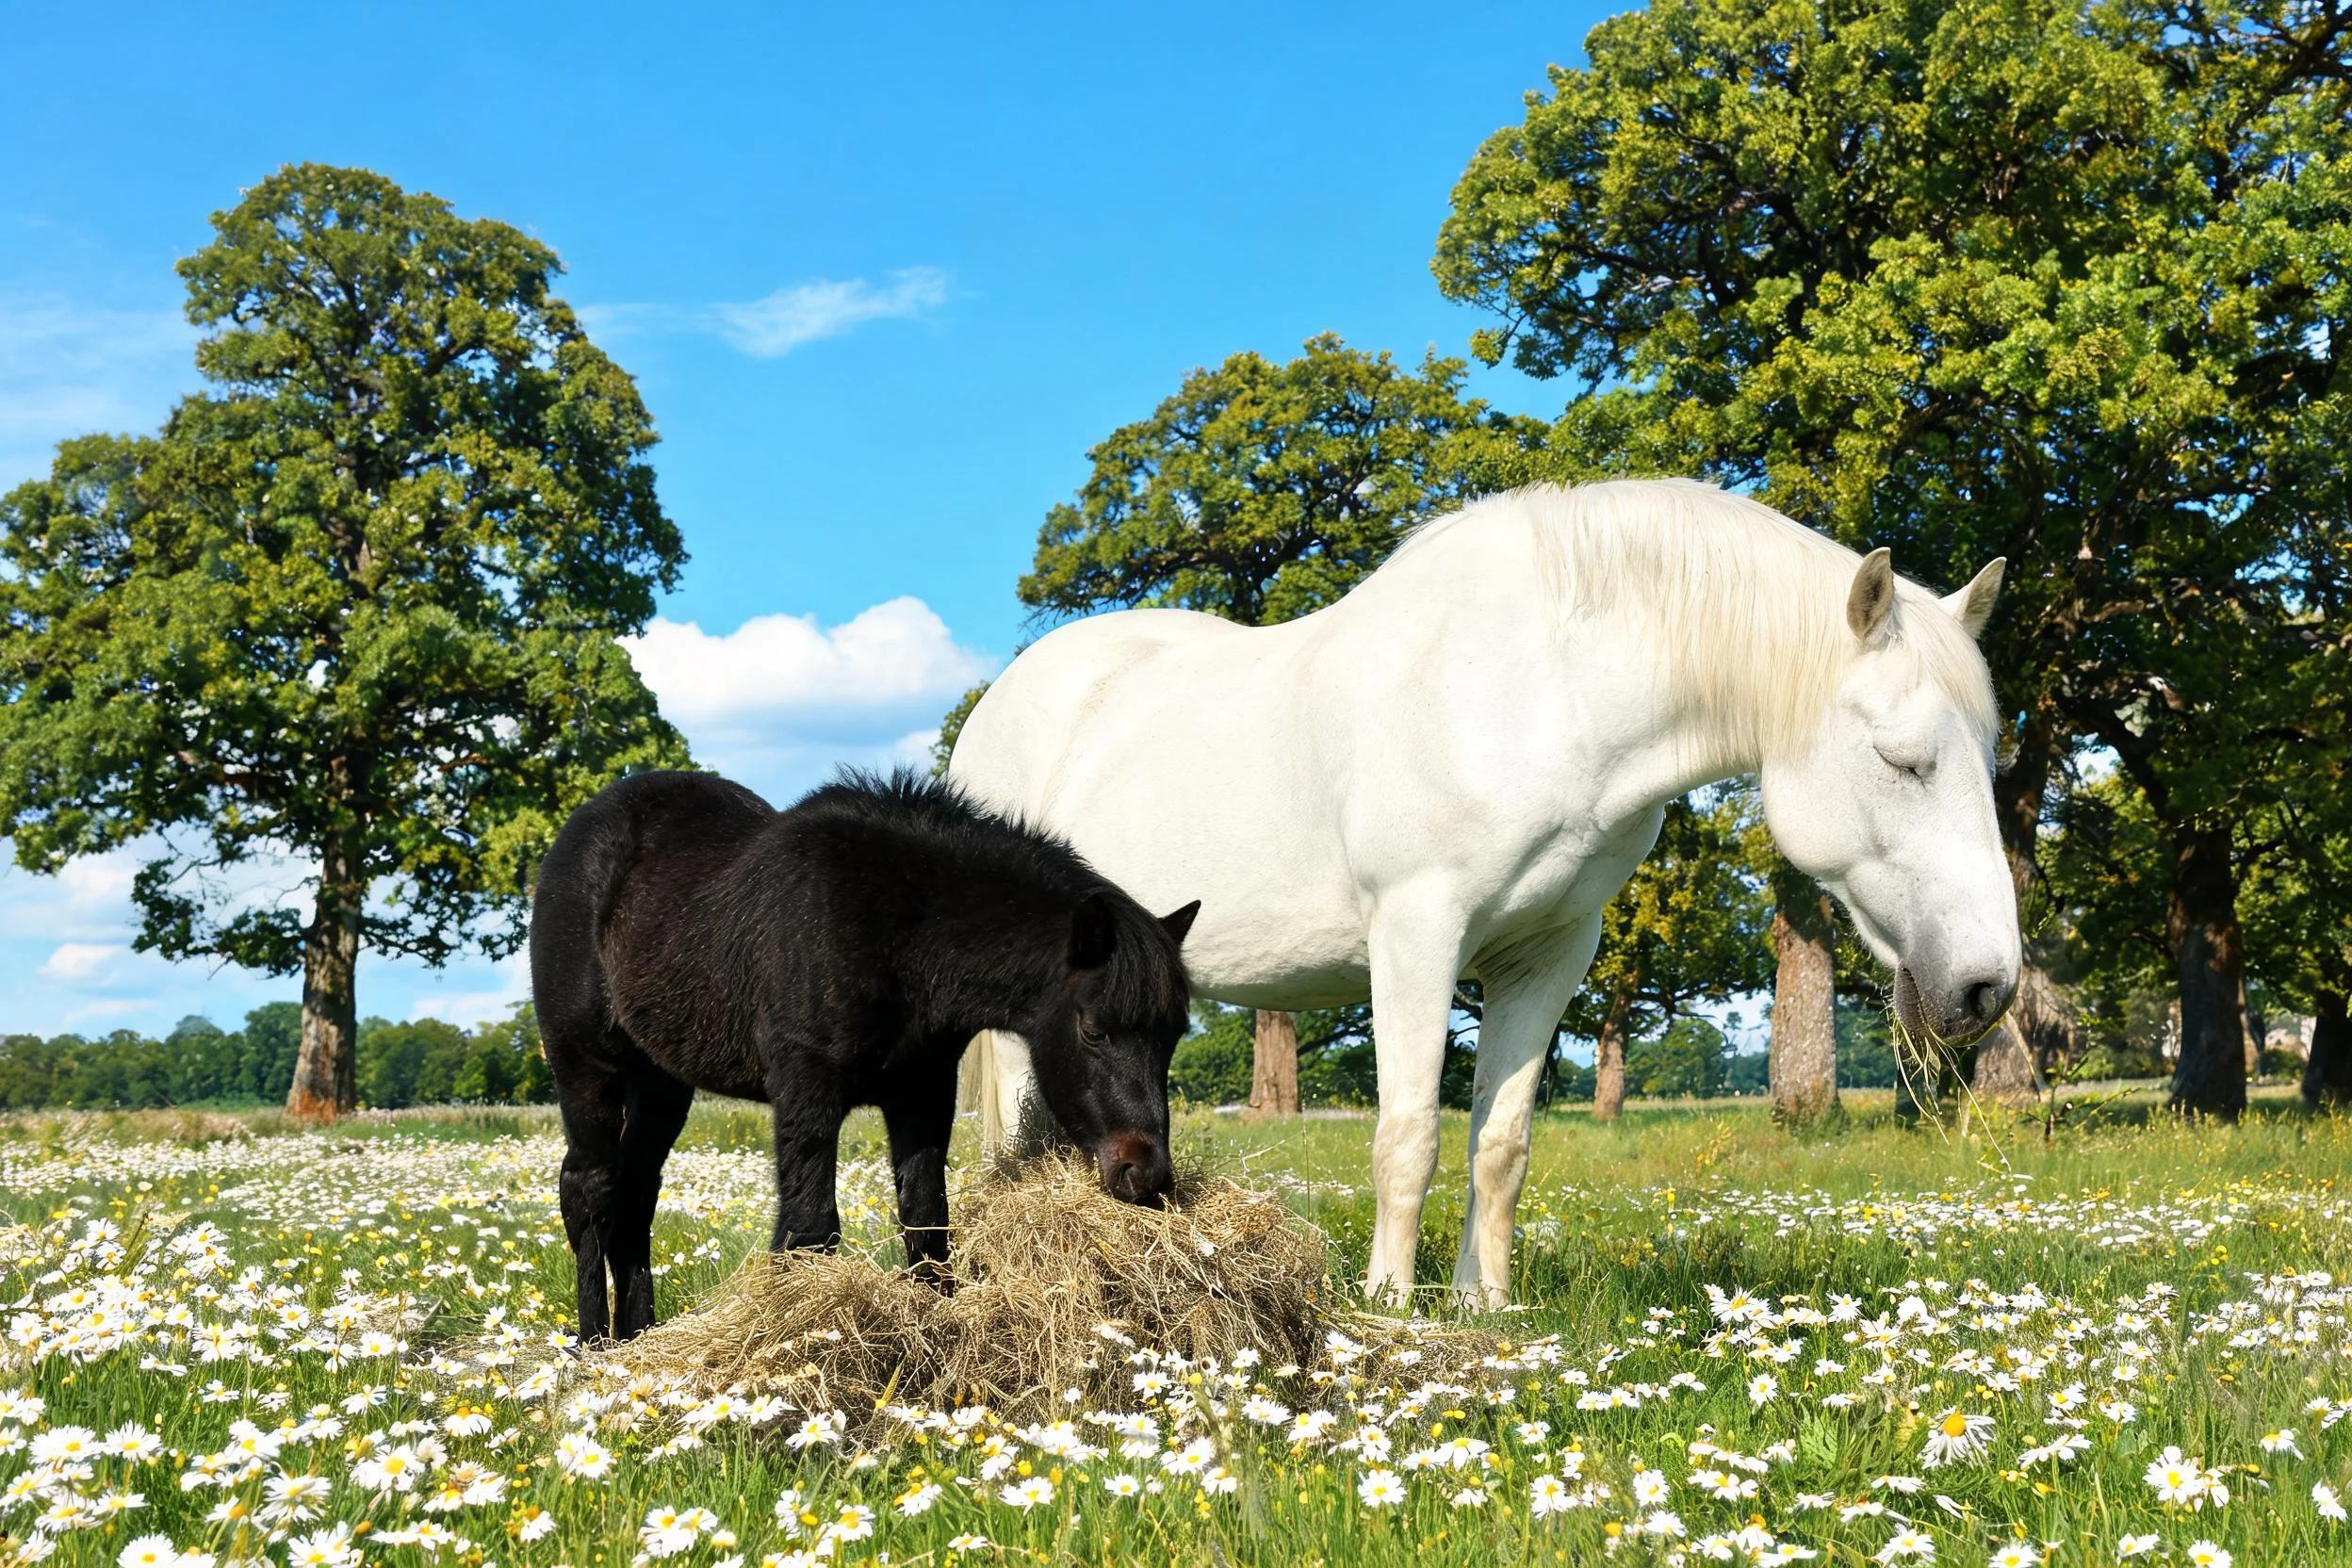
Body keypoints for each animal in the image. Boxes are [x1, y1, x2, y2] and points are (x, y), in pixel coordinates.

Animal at [529, 767, 1200, 1343]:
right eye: (1093, 1030)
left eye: (1173, 1035)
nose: (1146, 1175)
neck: (890, 925)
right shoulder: (806, 1093)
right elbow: (809, 1228)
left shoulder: (922, 1092)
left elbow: (926, 1221)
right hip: (586, 1069)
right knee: (589, 1189)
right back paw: (592, 1345)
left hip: (662, 1081)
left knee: (635, 1194)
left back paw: (639, 1336)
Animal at [948, 478, 2019, 1307]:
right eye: (1902, 760)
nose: (1986, 986)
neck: (1539, 693)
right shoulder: (1418, 935)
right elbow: (1408, 1135)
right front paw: (1386, 1302)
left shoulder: (1550, 954)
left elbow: (1500, 1143)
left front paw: (1482, 1302)